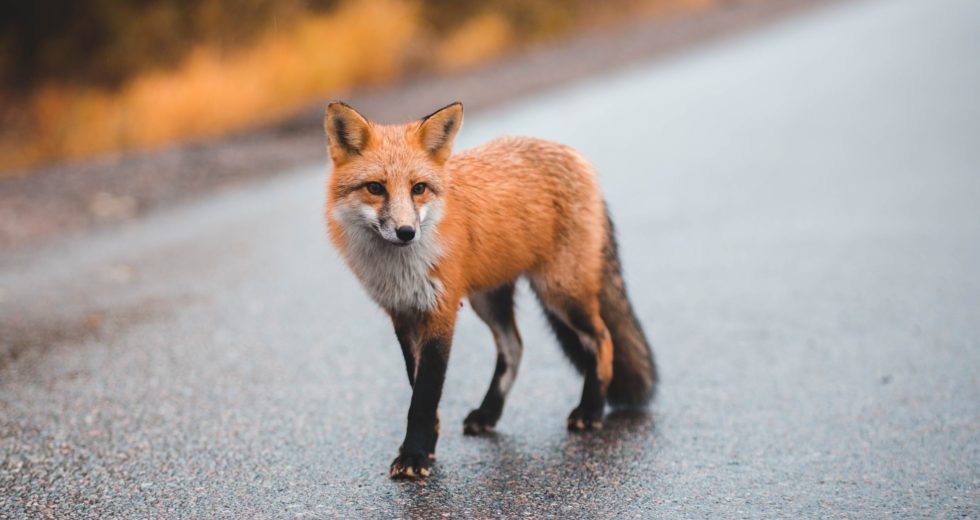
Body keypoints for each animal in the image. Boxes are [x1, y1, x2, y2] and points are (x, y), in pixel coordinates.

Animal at [323, 101, 657, 479]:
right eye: (376, 188)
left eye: (418, 188)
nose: (407, 232)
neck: (401, 268)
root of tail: (574, 155)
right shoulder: (403, 314)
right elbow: (417, 386)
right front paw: (427, 445)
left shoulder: (441, 311)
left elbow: (424, 395)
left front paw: (415, 455)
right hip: (489, 299)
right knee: (515, 347)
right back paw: (489, 413)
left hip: (560, 292)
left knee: (602, 339)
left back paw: (590, 410)